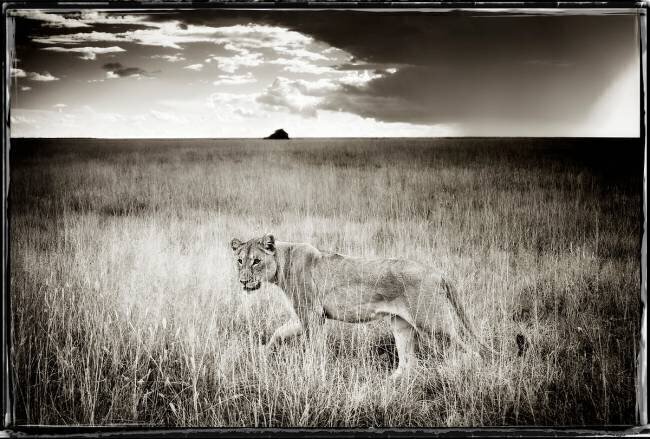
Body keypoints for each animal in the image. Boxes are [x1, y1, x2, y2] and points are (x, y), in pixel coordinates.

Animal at [230, 233, 494, 378]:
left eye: (256, 261)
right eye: (240, 261)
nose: (243, 281)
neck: (282, 264)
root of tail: (437, 272)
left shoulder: (312, 314)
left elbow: (314, 348)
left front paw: (313, 370)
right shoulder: (304, 315)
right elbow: (277, 333)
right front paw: (263, 355)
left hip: (433, 323)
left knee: (470, 351)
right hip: (401, 325)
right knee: (407, 363)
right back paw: (387, 385)